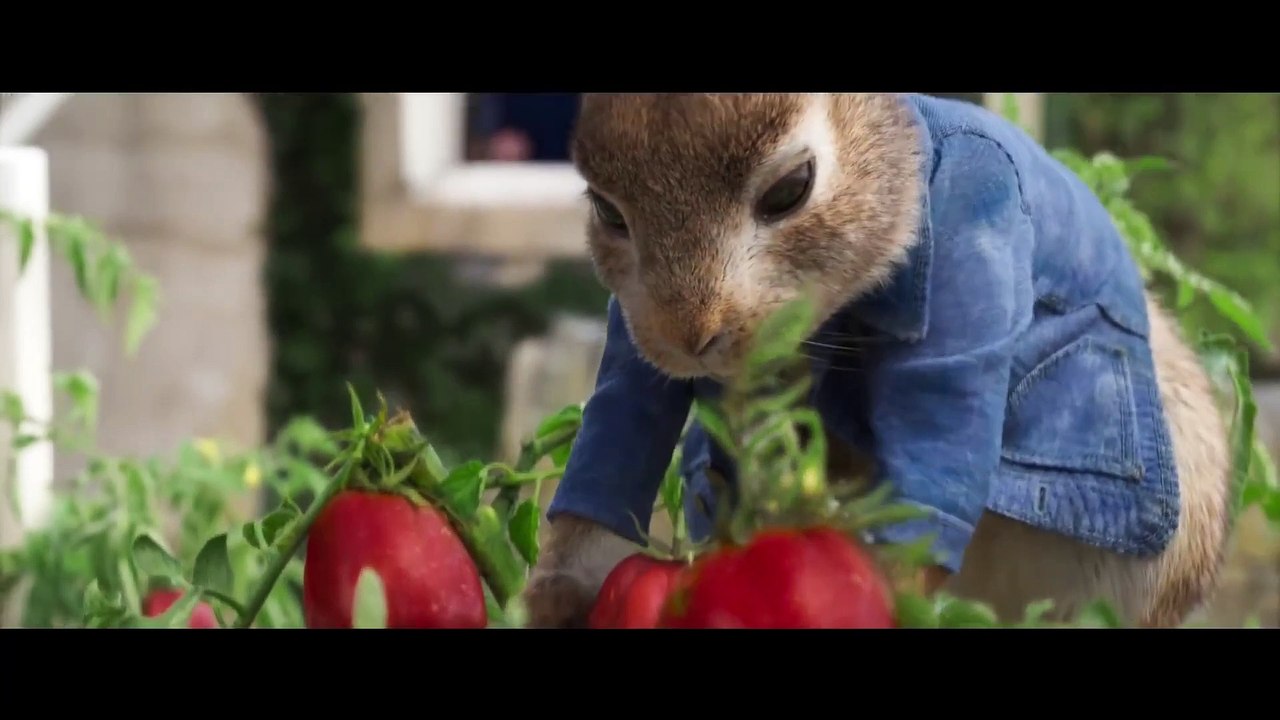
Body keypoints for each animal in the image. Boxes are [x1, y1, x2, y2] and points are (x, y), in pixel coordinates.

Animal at [523, 93, 1233, 629]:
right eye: (606, 209)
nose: (687, 335)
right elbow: (623, 416)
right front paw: (556, 595)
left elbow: (942, 423)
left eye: (791, 189)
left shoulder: (976, 225)